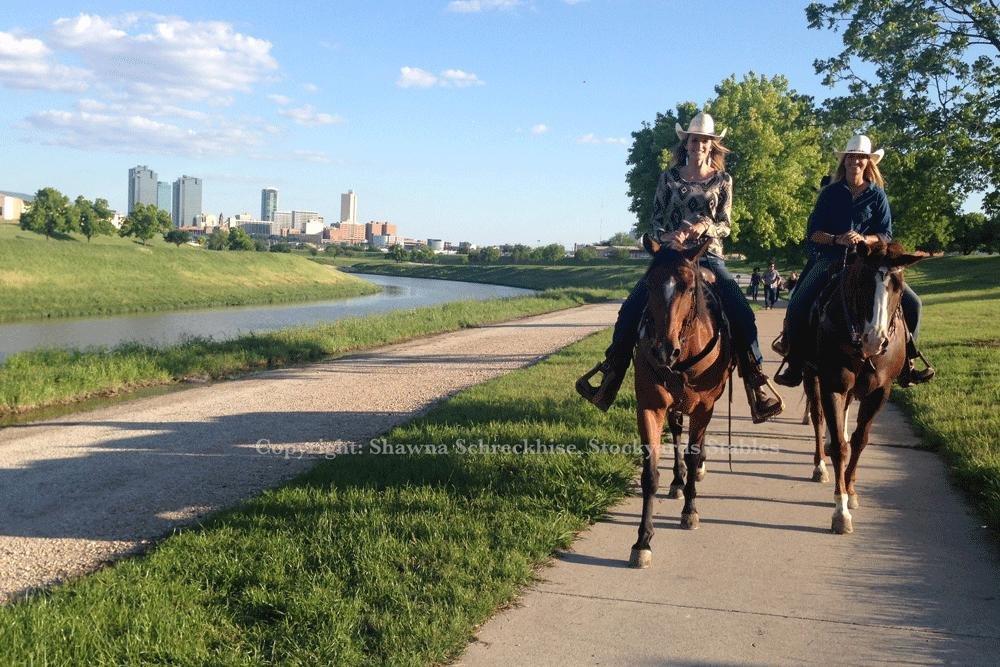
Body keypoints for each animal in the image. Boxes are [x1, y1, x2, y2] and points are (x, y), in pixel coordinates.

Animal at [632, 235, 736, 568]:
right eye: (648, 283)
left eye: (689, 287)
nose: (664, 350)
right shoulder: (650, 406)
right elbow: (650, 472)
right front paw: (642, 541)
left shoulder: (704, 406)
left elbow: (692, 453)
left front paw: (690, 511)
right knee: (678, 431)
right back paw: (678, 482)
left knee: (694, 445)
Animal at [796, 243, 928, 536]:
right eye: (863, 283)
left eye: (898, 287)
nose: (875, 340)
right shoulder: (832, 384)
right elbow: (841, 446)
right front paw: (840, 512)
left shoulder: (880, 391)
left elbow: (859, 440)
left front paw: (851, 490)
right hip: (811, 376)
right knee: (819, 418)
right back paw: (820, 465)